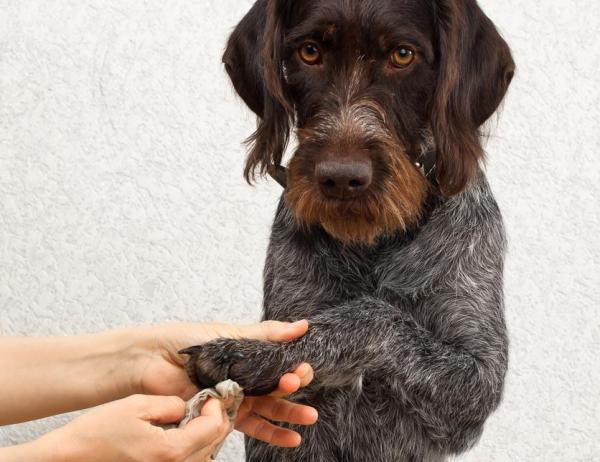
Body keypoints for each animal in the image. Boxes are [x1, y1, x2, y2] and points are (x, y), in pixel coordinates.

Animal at [180, 1, 512, 460]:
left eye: (403, 55)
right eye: (310, 52)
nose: (341, 177)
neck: (374, 241)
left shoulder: (477, 379)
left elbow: (371, 314)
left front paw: (257, 352)